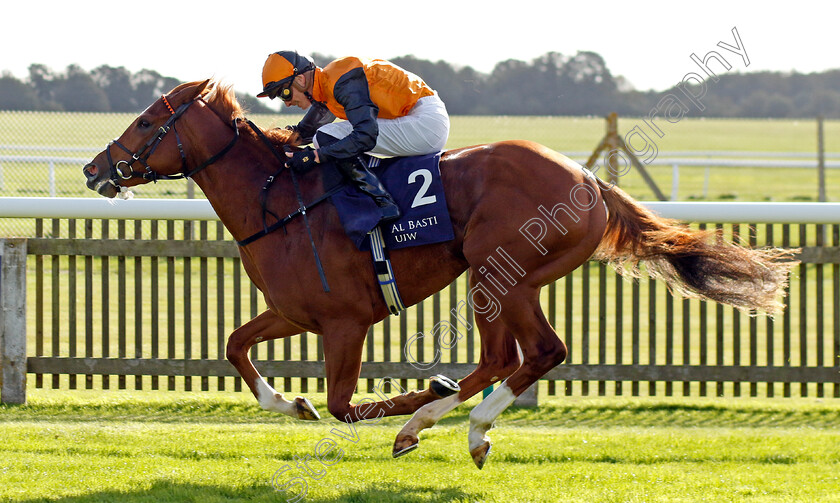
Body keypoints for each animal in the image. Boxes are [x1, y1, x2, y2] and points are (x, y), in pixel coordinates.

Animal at [80, 79, 796, 468]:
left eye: (147, 120)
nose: (94, 168)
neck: (278, 201)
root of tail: (590, 180)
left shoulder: (345, 321)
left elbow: (344, 405)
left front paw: (406, 397)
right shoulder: (294, 311)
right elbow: (235, 345)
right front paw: (290, 401)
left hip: (497, 271)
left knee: (520, 355)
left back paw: (436, 420)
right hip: (511, 279)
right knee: (524, 355)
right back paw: (465, 427)